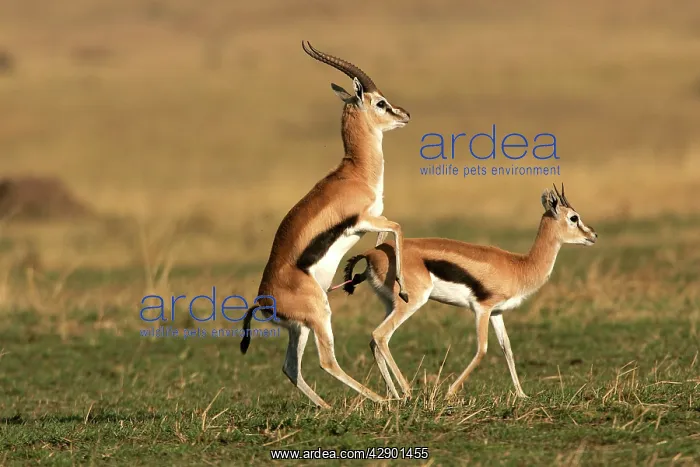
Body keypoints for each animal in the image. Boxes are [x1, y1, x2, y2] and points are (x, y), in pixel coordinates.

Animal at [239, 41, 411, 409]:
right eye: (380, 102)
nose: (405, 114)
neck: (355, 173)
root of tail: (263, 299)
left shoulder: (370, 226)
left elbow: (386, 239)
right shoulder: (365, 220)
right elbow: (398, 227)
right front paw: (402, 289)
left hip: (300, 328)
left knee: (291, 367)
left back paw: (329, 408)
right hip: (320, 315)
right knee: (326, 361)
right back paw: (382, 400)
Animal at [339, 185, 597, 400]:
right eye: (574, 217)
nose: (593, 235)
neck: (519, 266)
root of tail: (371, 253)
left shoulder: (496, 312)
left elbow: (507, 348)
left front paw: (522, 395)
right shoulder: (482, 309)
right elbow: (482, 349)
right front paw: (449, 392)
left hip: (390, 304)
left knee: (374, 341)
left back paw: (394, 396)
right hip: (412, 302)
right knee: (381, 335)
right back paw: (407, 391)